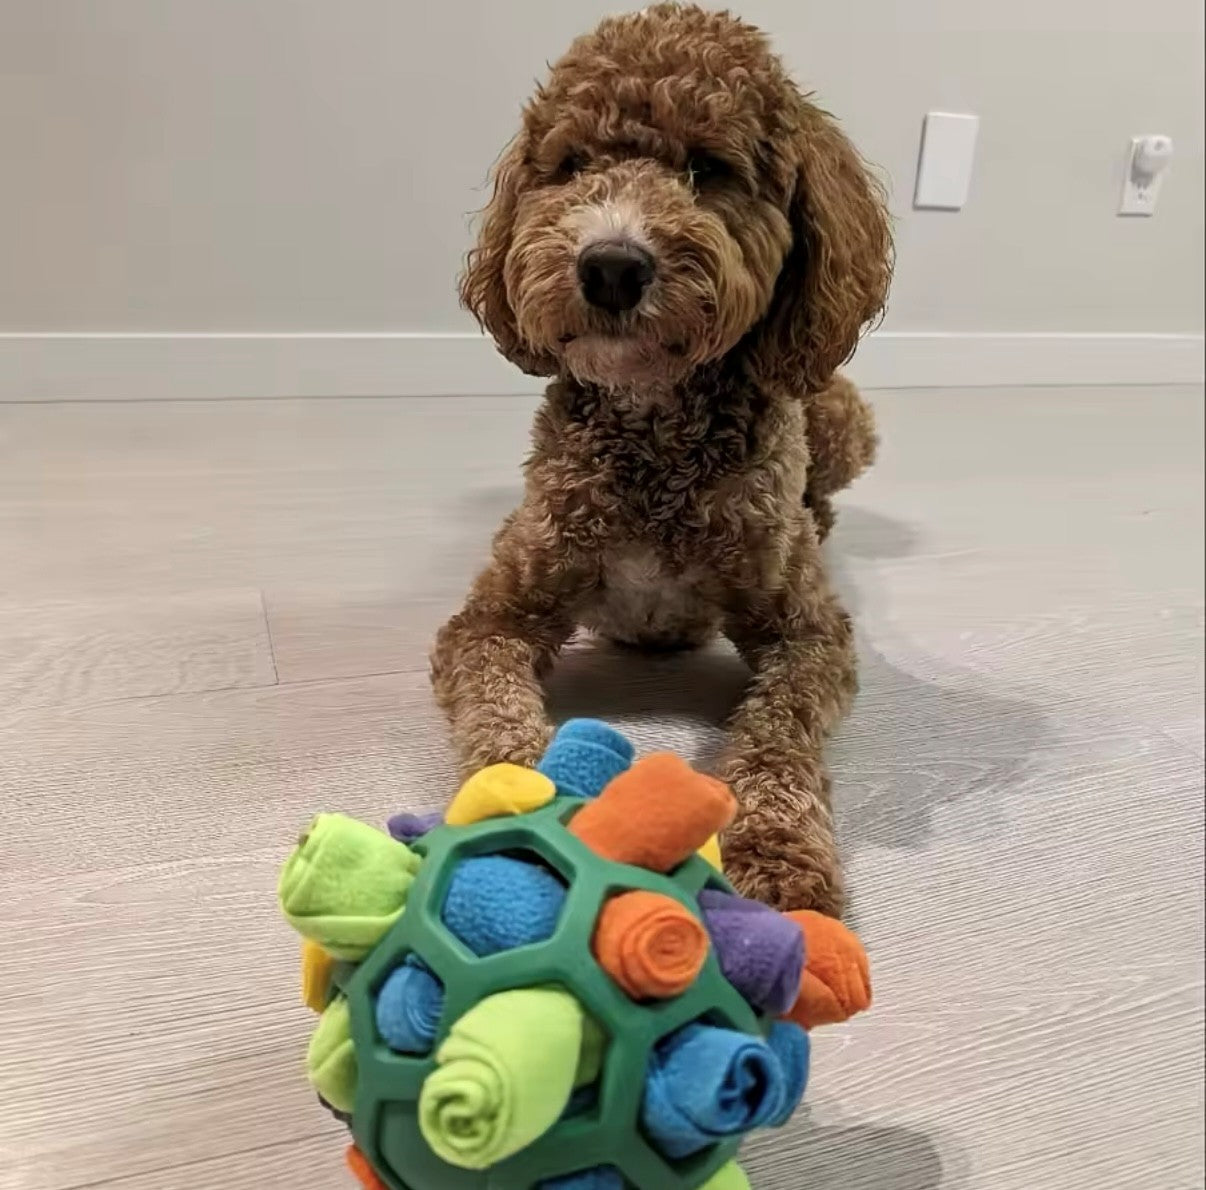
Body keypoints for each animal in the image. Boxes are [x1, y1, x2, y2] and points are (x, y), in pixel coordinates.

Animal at [429, 4, 892, 916]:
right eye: (571, 164)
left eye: (707, 168)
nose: (610, 265)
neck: (652, 434)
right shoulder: (491, 619)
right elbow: (499, 720)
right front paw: (519, 825)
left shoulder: (811, 634)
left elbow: (779, 736)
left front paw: (779, 852)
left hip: (840, 411)